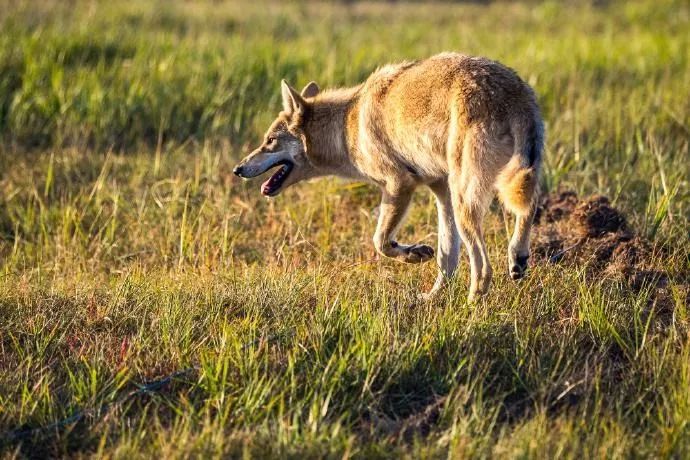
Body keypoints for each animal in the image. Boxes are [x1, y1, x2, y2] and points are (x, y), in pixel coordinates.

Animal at [234, 52, 540, 300]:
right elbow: (446, 257)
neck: (345, 126)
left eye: (270, 141)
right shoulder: (440, 188)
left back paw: (473, 305)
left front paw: (413, 255)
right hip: (480, 189)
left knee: (485, 266)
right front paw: (432, 296)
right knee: (530, 206)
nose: (238, 169)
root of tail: (513, 93)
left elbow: (380, 241)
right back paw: (517, 258)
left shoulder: (398, 184)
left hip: (466, 198)